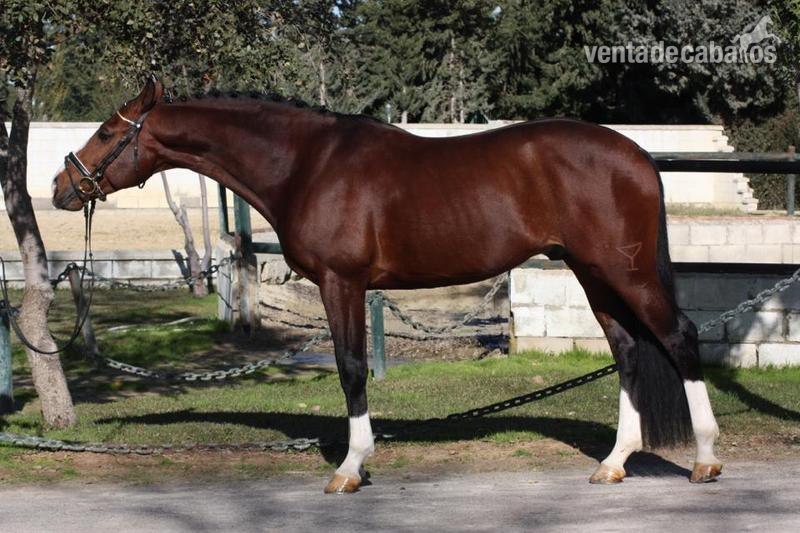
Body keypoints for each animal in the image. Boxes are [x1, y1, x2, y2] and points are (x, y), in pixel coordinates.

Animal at [52, 77, 722, 493]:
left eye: (108, 132)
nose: (63, 187)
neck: (307, 163)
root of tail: (638, 156)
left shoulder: (340, 284)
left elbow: (351, 369)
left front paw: (351, 467)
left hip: (624, 271)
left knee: (679, 339)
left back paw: (706, 461)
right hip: (593, 273)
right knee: (628, 350)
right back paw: (614, 464)